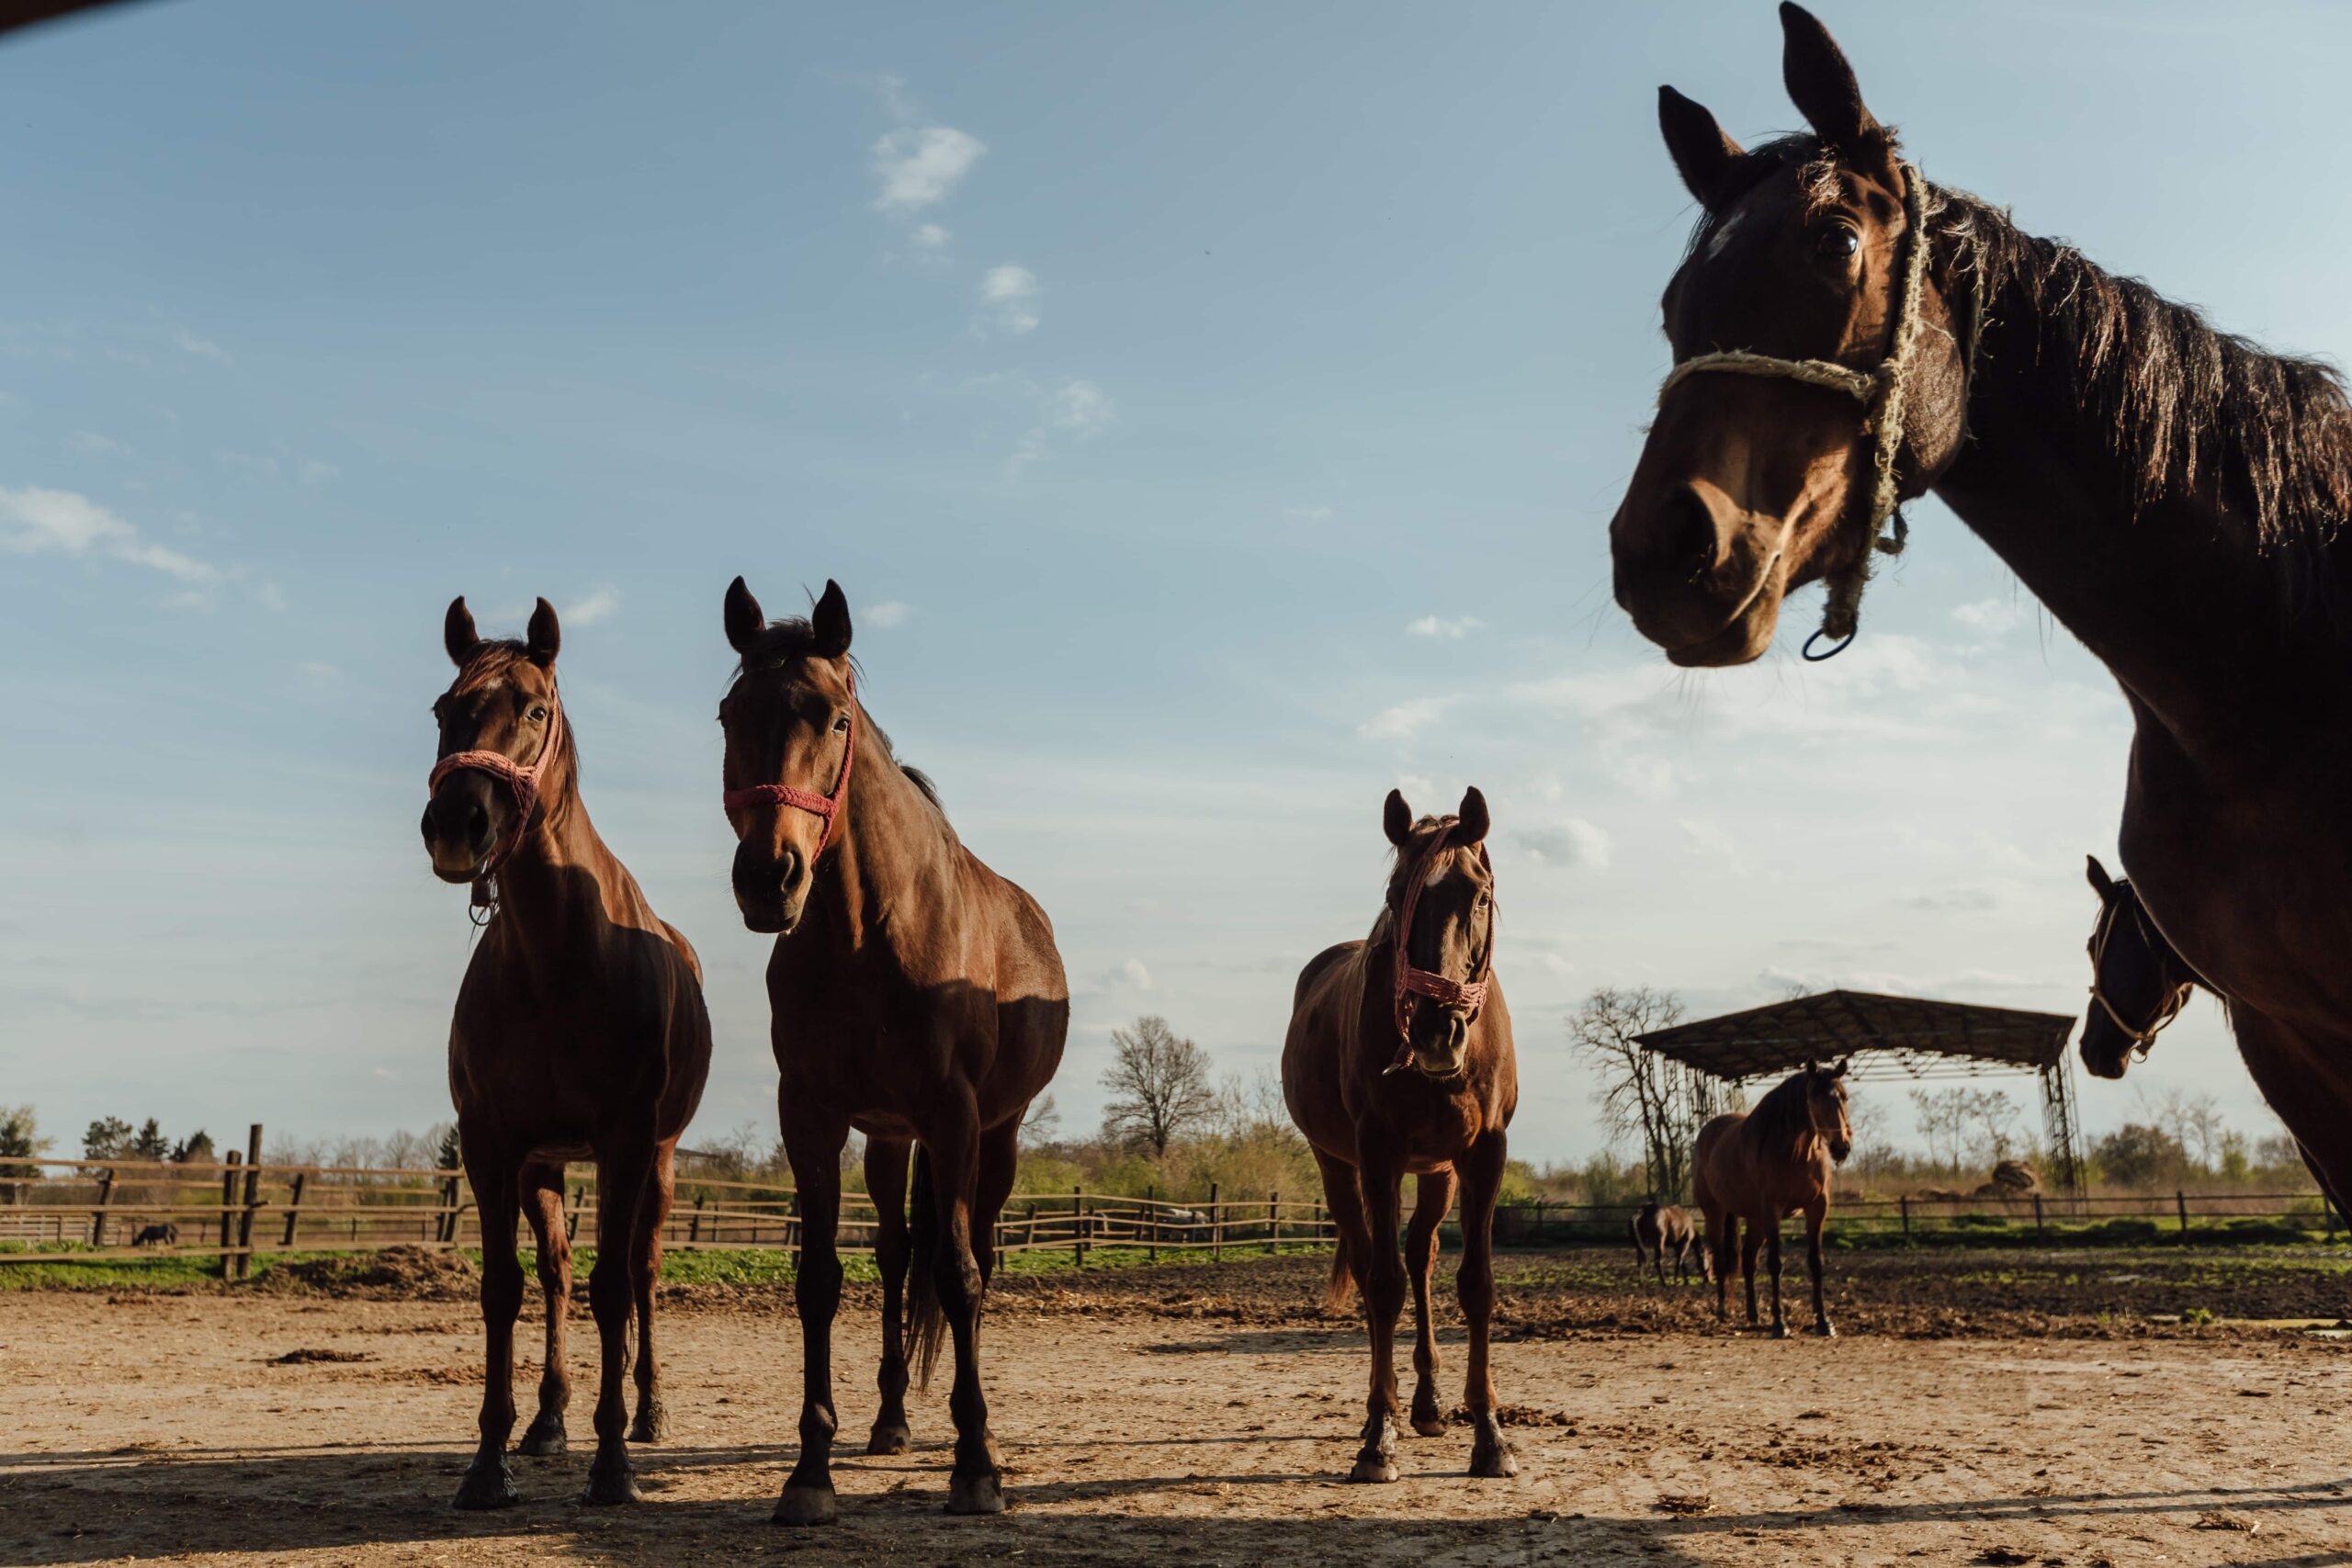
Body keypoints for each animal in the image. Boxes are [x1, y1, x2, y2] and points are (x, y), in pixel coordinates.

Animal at [423, 597, 710, 1504]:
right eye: (443, 710)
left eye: (536, 709)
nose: (458, 824)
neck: (556, 957)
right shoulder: (492, 1143)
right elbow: (504, 1288)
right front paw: (489, 1462)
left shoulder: (625, 1138)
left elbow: (615, 1287)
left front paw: (613, 1462)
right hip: (545, 1163)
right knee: (553, 1274)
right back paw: (549, 1420)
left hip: (659, 1159)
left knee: (642, 1271)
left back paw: (649, 1412)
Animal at [710, 576, 1072, 1523]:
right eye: (729, 713)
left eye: (835, 717)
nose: (768, 877)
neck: (870, 933)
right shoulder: (813, 1115)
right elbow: (821, 1279)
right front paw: (810, 1470)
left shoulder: (955, 1115)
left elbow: (960, 1274)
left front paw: (976, 1465)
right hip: (886, 1137)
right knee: (896, 1253)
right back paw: (890, 1422)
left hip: (994, 1137)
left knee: (970, 1257)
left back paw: (969, 1434)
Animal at [1288, 789, 1523, 1495]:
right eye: (1396, 896)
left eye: (1480, 895)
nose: (1436, 1032)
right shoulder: (1378, 1153)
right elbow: (1385, 1286)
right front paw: (1376, 1439)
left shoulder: (1483, 1155)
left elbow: (1475, 1286)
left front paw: (1490, 1433)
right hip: (1339, 1167)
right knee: (1376, 1270)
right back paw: (1389, 1408)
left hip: (1439, 1171)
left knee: (1421, 1255)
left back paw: (1426, 1404)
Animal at [1693, 1053, 1853, 1335]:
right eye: (1816, 1099)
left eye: (1844, 1097)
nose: (1841, 1147)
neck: (1797, 1154)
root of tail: (1707, 1132)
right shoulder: (1773, 1209)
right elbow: (1775, 1263)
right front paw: (1780, 1324)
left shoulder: (1817, 1209)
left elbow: (1816, 1262)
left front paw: (1824, 1321)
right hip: (1716, 1212)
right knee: (1721, 1258)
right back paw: (1723, 1310)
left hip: (1755, 1219)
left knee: (1748, 1259)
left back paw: (1753, 1314)